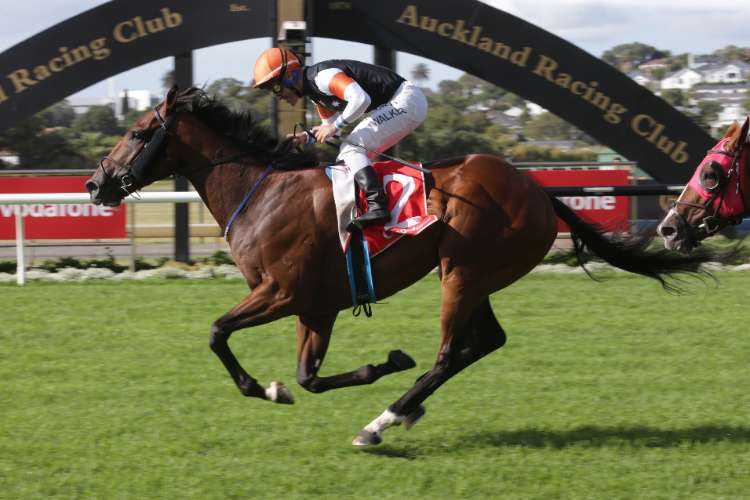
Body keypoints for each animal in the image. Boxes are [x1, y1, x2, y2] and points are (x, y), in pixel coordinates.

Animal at [86, 86, 726, 446]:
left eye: (138, 132)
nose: (95, 184)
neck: (261, 190)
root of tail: (540, 192)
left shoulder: (282, 292)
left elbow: (218, 332)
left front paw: (266, 387)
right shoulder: (316, 306)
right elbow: (308, 376)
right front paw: (347, 372)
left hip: (462, 271)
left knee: (450, 352)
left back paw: (383, 421)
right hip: (474, 275)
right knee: (483, 343)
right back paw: (401, 409)